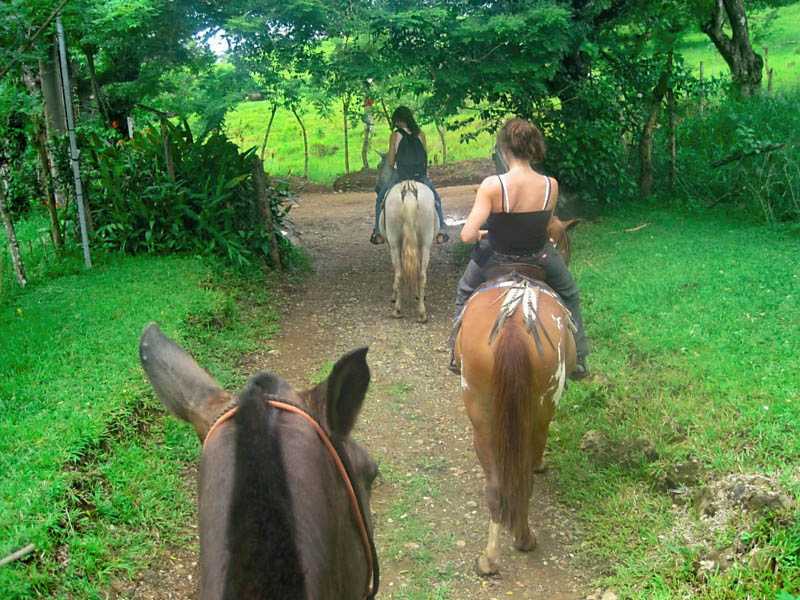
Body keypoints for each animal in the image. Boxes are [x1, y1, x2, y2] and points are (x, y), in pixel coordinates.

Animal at [376, 154, 438, 322]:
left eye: (378, 166)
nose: (376, 188)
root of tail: (409, 189)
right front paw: (417, 295)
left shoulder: (390, 245)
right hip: (425, 244)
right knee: (421, 274)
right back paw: (422, 313)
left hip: (395, 244)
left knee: (399, 273)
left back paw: (397, 309)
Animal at [452, 217, 579, 576]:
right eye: (564, 245)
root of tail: (514, 325)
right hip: (541, 407)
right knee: (524, 468)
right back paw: (523, 539)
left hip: (482, 412)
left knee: (496, 486)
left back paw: (490, 557)